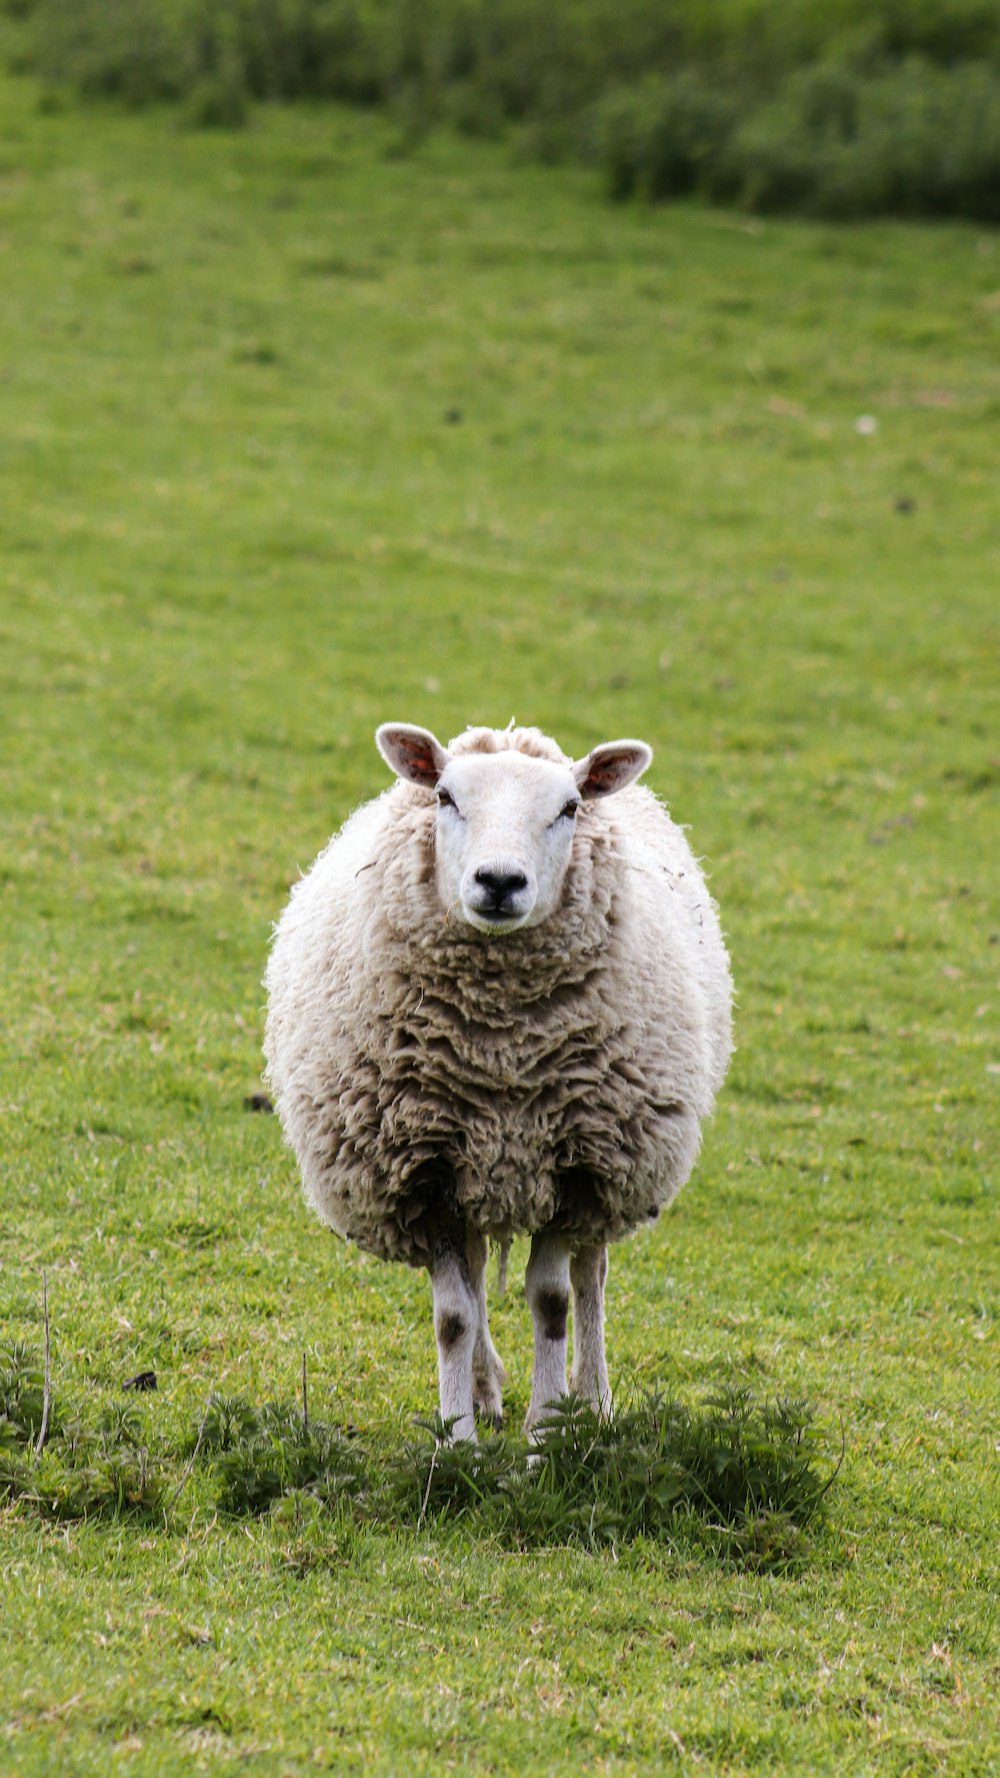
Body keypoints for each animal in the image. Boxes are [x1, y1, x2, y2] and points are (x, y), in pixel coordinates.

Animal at [263, 721, 733, 1443]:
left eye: (569, 807)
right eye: (446, 797)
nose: (500, 881)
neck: (500, 1051)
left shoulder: (578, 1167)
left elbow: (553, 1302)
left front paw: (548, 1432)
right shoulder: (422, 1169)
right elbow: (454, 1317)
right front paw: (458, 1440)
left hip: (614, 1162)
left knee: (592, 1276)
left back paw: (593, 1398)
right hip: (473, 1172)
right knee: (480, 1271)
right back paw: (485, 1392)